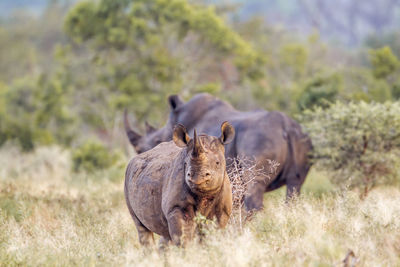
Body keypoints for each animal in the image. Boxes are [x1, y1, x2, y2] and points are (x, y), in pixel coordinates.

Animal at [125, 94, 312, 211]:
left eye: (153, 142)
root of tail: (287, 127)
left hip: (260, 139)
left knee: (255, 186)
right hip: (302, 138)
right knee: (295, 185)